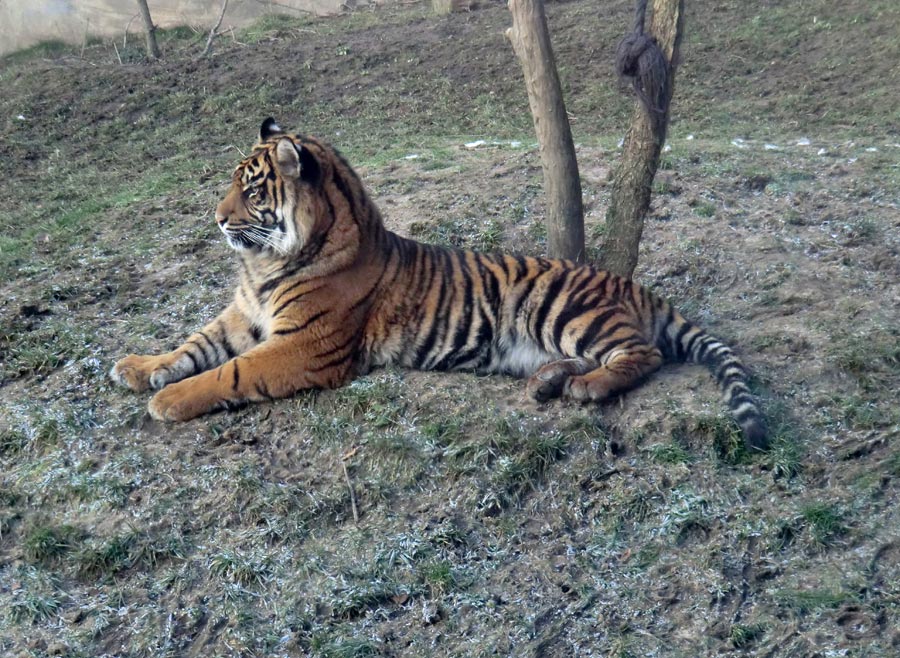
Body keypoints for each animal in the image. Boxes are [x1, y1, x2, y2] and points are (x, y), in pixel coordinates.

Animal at [109, 118, 768, 448]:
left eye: (250, 190)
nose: (217, 219)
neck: (268, 263)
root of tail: (634, 286)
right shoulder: (244, 313)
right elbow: (195, 344)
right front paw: (140, 368)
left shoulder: (304, 346)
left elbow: (228, 372)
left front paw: (168, 400)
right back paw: (548, 382)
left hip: (563, 309)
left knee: (643, 353)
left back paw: (586, 389)